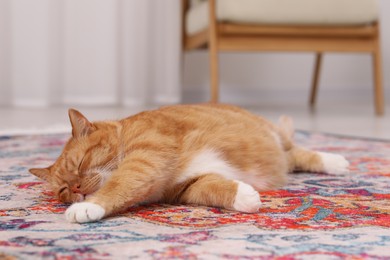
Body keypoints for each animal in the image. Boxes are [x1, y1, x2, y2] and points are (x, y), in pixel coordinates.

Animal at [29, 103, 348, 223]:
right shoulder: (185, 187)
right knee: (294, 157)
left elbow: (119, 183)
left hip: (277, 138)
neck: (125, 135)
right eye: (63, 190)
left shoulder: (146, 158)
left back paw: (336, 161)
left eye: (81, 163)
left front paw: (87, 207)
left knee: (300, 152)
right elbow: (212, 188)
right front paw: (245, 197)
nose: (77, 189)